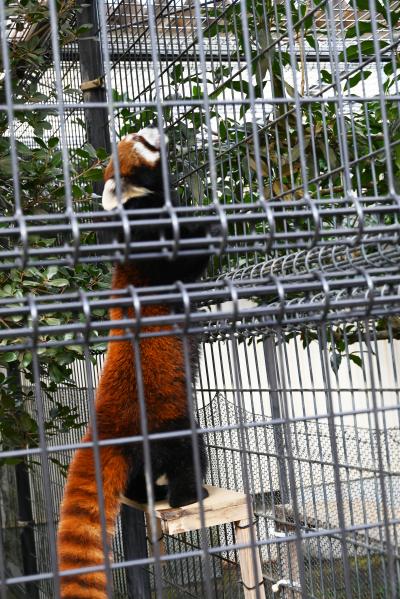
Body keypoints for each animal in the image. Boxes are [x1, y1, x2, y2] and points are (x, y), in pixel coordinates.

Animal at [58, 125, 212, 596]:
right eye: (141, 143)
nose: (154, 128)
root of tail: (106, 427)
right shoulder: (148, 243)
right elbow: (186, 261)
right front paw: (217, 221)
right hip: (166, 424)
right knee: (189, 453)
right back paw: (188, 495)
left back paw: (154, 496)